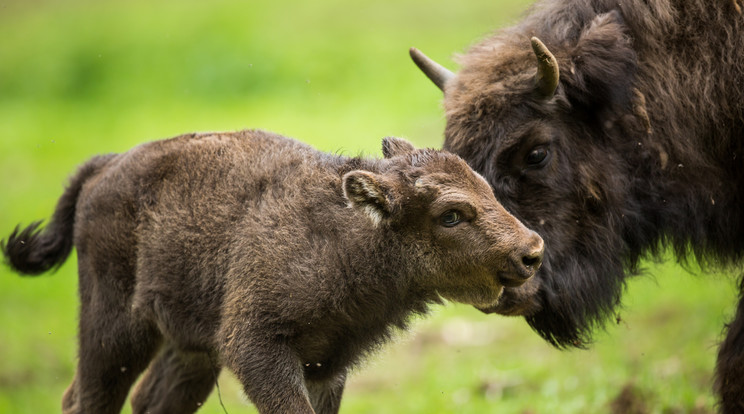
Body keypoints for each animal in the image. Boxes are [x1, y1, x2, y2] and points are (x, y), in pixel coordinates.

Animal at [2, 128, 544, 412]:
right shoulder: (258, 347)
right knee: (87, 398)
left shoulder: (326, 365)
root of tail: (105, 166)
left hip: (191, 349)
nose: (531, 252)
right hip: (114, 329)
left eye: (485, 186)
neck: (349, 236)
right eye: (450, 214)